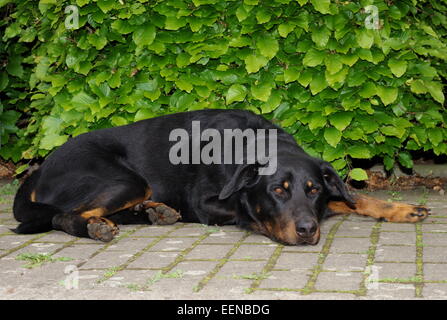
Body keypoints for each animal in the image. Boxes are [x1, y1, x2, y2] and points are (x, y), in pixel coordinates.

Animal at [11, 110, 430, 245]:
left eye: (312, 191)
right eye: (277, 191)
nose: (308, 230)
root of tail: (40, 167)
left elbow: (353, 199)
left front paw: (401, 209)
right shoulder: (205, 203)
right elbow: (246, 211)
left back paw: (155, 212)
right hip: (125, 180)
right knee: (63, 216)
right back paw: (99, 226)